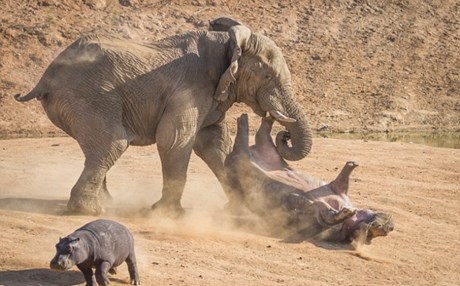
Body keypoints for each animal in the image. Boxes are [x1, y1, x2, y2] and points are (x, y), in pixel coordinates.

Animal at [13, 16, 312, 216]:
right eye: (268, 76)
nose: (281, 131)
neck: (229, 43)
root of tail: (45, 77)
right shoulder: (190, 88)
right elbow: (175, 140)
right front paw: (170, 214)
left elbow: (214, 144)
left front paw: (240, 208)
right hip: (89, 98)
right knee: (113, 144)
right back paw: (90, 212)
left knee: (99, 149)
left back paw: (106, 204)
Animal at [225, 114, 394, 244]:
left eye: (377, 231)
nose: (391, 225)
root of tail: (231, 156)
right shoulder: (337, 188)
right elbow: (342, 180)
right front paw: (353, 164)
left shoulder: (313, 212)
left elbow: (320, 211)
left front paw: (345, 211)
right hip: (259, 148)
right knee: (259, 133)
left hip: (244, 158)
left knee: (248, 137)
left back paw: (245, 119)